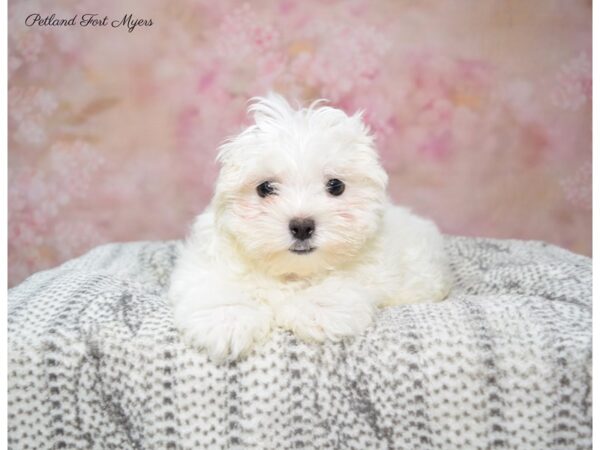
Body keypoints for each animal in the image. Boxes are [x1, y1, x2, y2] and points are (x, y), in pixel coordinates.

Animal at [168, 92, 450, 362]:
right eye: (265, 188)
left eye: (336, 186)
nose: (302, 226)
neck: (291, 272)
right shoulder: (209, 260)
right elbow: (217, 286)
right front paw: (228, 319)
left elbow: (342, 282)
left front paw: (318, 308)